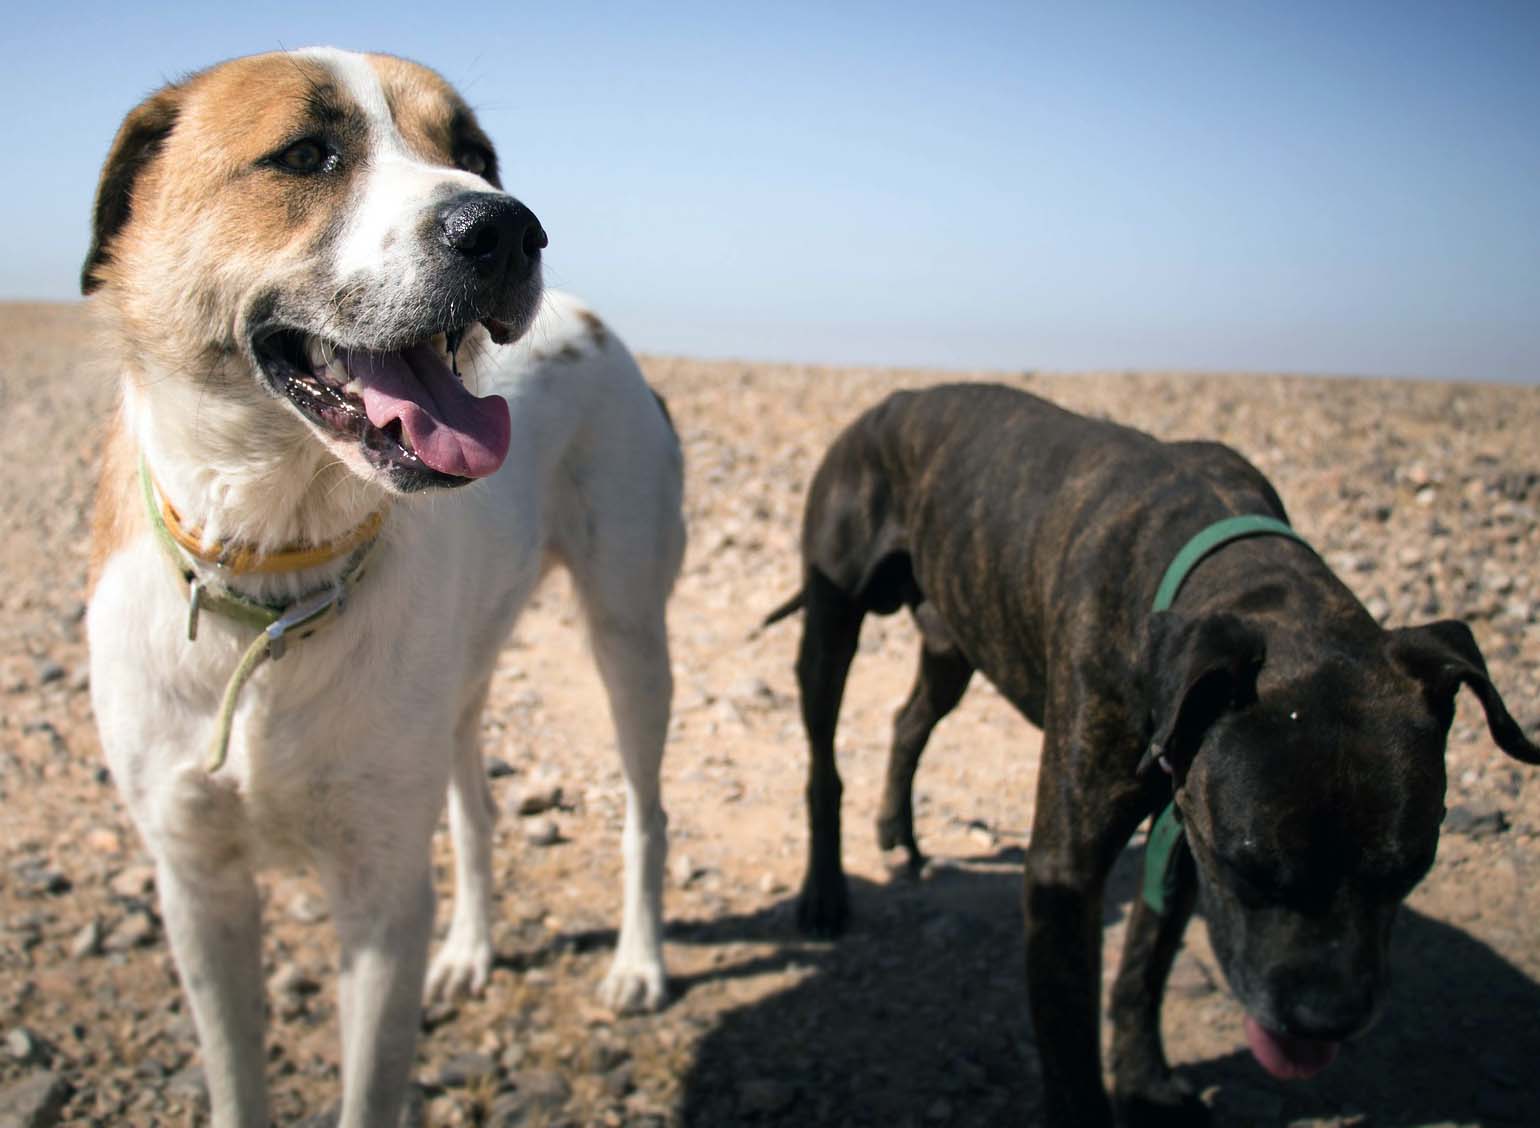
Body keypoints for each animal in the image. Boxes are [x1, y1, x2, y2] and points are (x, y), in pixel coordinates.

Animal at [84, 48, 683, 1121]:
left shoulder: (378, 896)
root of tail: (594, 321)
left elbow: (368, 1089)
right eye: (305, 154)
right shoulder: (196, 889)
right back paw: (472, 950)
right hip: (458, 691)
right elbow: (235, 1077)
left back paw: (638, 964)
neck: (274, 585)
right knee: (475, 813)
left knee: (644, 815)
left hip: (628, 634)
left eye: (475, 154)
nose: (507, 229)